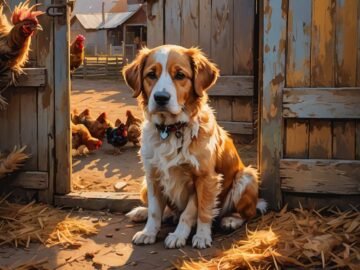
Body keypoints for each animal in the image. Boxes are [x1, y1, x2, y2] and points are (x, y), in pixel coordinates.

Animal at [124, 44, 268, 249]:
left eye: (180, 75)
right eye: (151, 74)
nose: (161, 97)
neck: (171, 130)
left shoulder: (204, 178)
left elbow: (195, 212)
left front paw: (193, 236)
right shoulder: (152, 175)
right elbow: (155, 210)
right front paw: (149, 232)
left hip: (246, 176)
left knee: (248, 213)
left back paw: (230, 220)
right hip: (144, 184)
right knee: (163, 210)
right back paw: (142, 212)